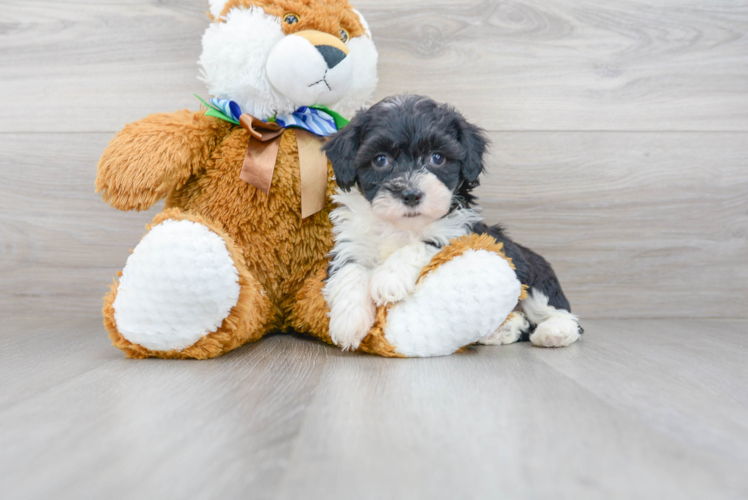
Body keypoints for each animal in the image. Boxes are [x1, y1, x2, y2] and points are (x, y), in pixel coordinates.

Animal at [318, 94, 580, 352]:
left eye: (437, 157)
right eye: (380, 160)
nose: (411, 195)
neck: (400, 226)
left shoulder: (460, 233)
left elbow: (422, 243)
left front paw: (389, 278)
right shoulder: (350, 243)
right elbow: (349, 269)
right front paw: (348, 320)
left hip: (534, 274)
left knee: (560, 314)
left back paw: (554, 332)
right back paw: (502, 329)